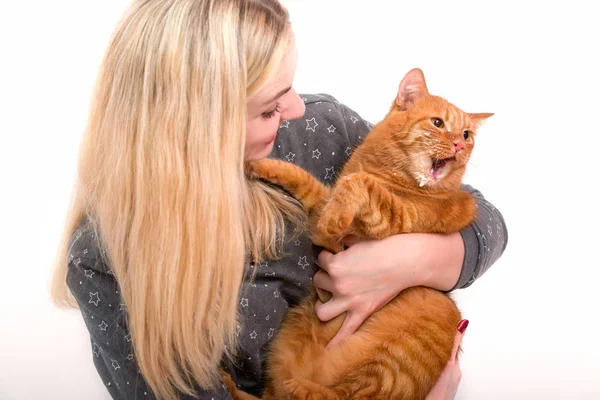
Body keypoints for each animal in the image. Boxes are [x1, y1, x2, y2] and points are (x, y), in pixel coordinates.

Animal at [224, 69, 492, 400]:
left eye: (467, 135)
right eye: (438, 123)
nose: (458, 146)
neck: (382, 169)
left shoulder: (390, 218)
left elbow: (359, 184)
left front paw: (337, 216)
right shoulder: (321, 204)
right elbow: (304, 178)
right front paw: (258, 163)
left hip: (400, 353)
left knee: (345, 395)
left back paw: (299, 386)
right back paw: (228, 379)